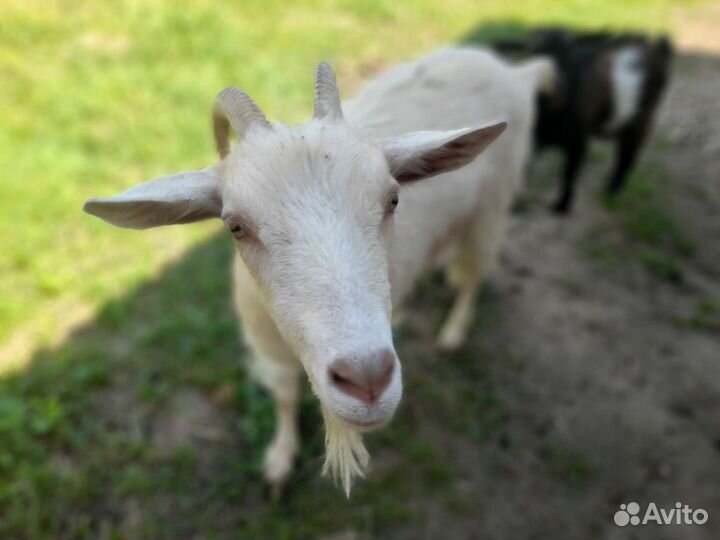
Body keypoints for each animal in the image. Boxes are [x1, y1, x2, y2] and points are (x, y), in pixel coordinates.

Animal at [83, 47, 551, 494]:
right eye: (235, 225)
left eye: (393, 199)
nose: (367, 380)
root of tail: (514, 70)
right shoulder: (265, 346)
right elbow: (284, 398)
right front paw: (279, 461)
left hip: (491, 208)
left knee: (473, 276)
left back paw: (452, 332)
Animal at [495, 28, 672, 213]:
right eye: (534, 52)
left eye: (570, 56)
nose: (558, 90)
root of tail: (659, 47)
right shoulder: (534, 139)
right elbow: (525, 169)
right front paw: (516, 204)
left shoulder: (578, 141)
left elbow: (569, 173)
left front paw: (562, 206)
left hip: (642, 118)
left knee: (628, 154)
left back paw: (611, 191)